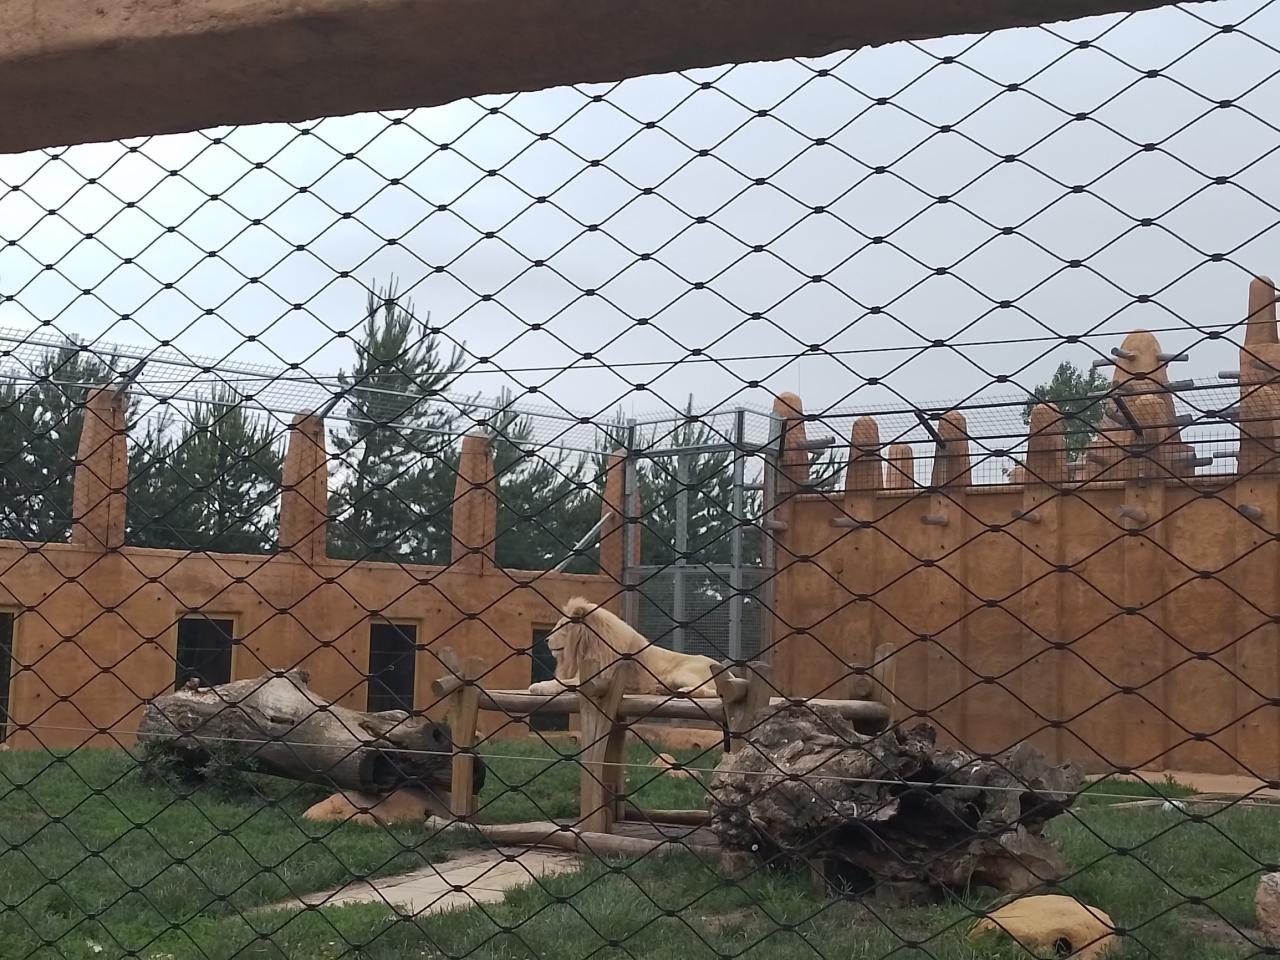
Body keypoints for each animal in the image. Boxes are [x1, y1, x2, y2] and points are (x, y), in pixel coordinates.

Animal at [528, 597, 720, 698]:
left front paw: (540, 686)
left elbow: (566, 683)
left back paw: (685, 691)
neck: (587, 646)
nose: (546, 640)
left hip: (683, 673)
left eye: (562, 627)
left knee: (714, 691)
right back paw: (662, 689)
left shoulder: (602, 677)